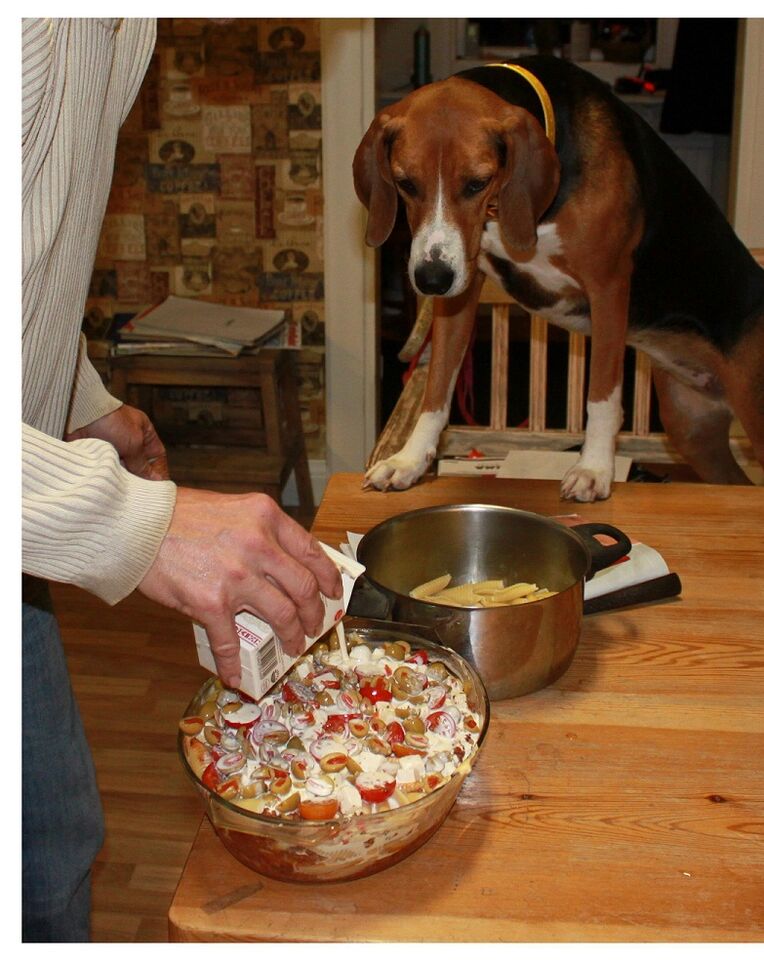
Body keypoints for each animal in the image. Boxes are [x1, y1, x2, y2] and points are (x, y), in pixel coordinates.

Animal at [353, 56, 764, 501]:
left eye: (477, 183)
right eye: (406, 184)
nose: (431, 280)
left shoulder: (607, 287)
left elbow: (602, 396)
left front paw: (594, 468)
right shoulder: (461, 291)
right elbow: (436, 389)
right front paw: (409, 460)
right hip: (691, 430)